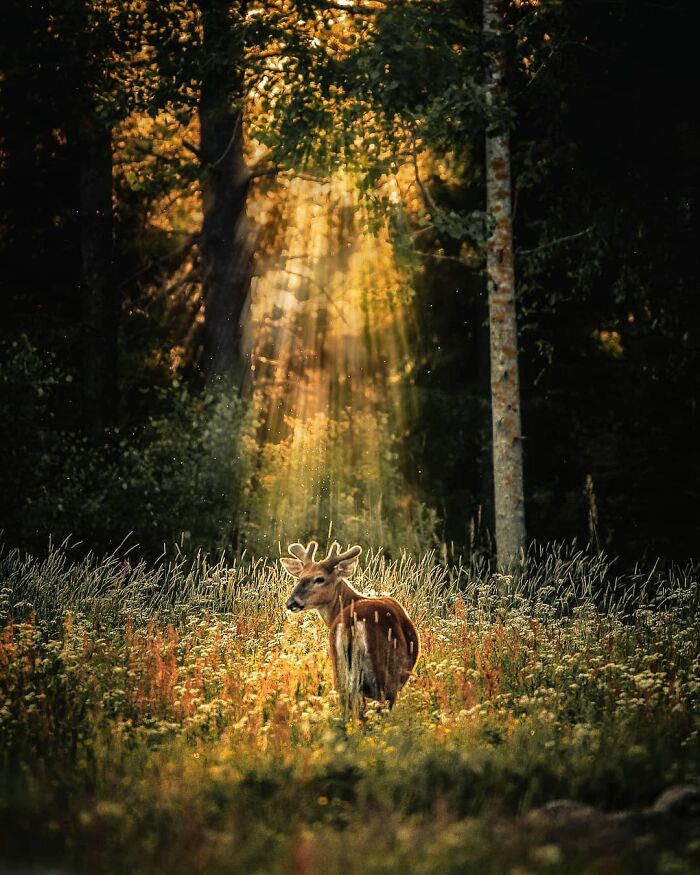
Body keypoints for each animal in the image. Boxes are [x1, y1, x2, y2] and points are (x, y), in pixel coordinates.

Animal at [281, 540, 420, 714]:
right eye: (299, 577)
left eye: (319, 579)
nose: (291, 602)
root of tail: (351, 622)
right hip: (382, 675)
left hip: (339, 671)